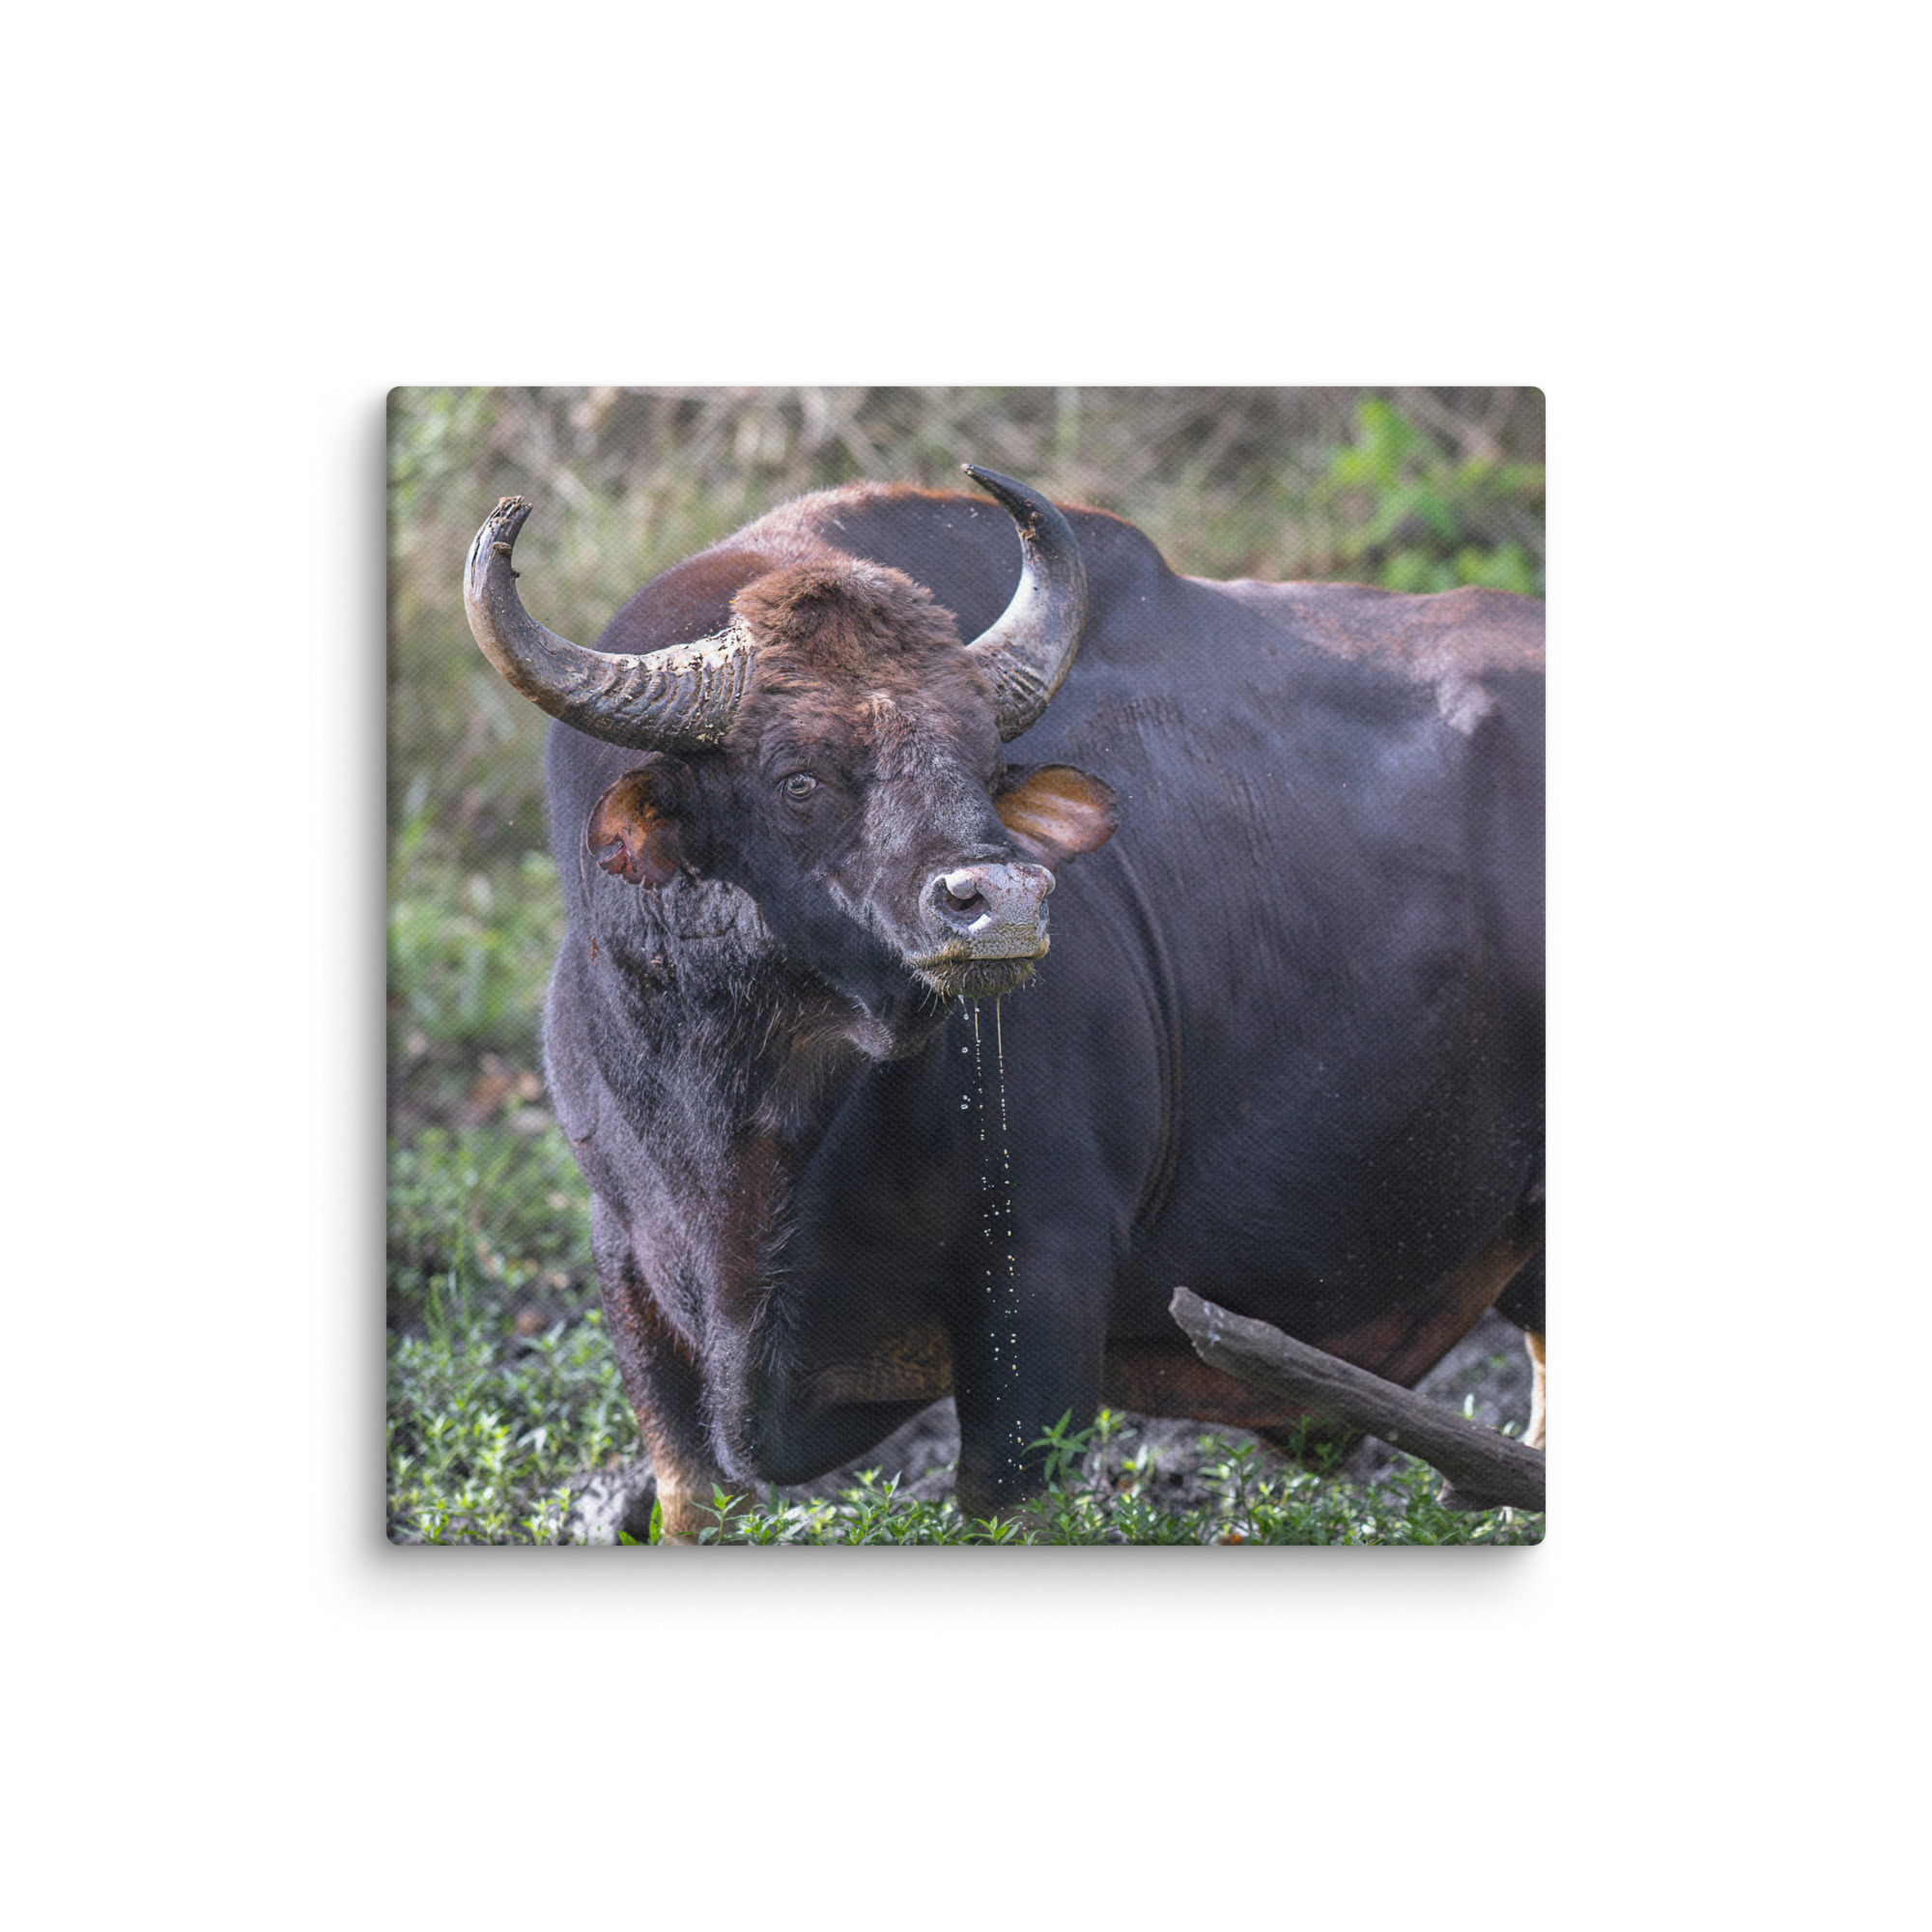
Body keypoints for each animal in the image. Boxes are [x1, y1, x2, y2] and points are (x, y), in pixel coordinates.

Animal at [462, 467, 1544, 1537]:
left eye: (984, 767)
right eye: (798, 778)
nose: (1003, 901)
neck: (750, 1116)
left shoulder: (1041, 1282)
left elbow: (1003, 1493)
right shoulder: (629, 1276)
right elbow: (691, 1493)